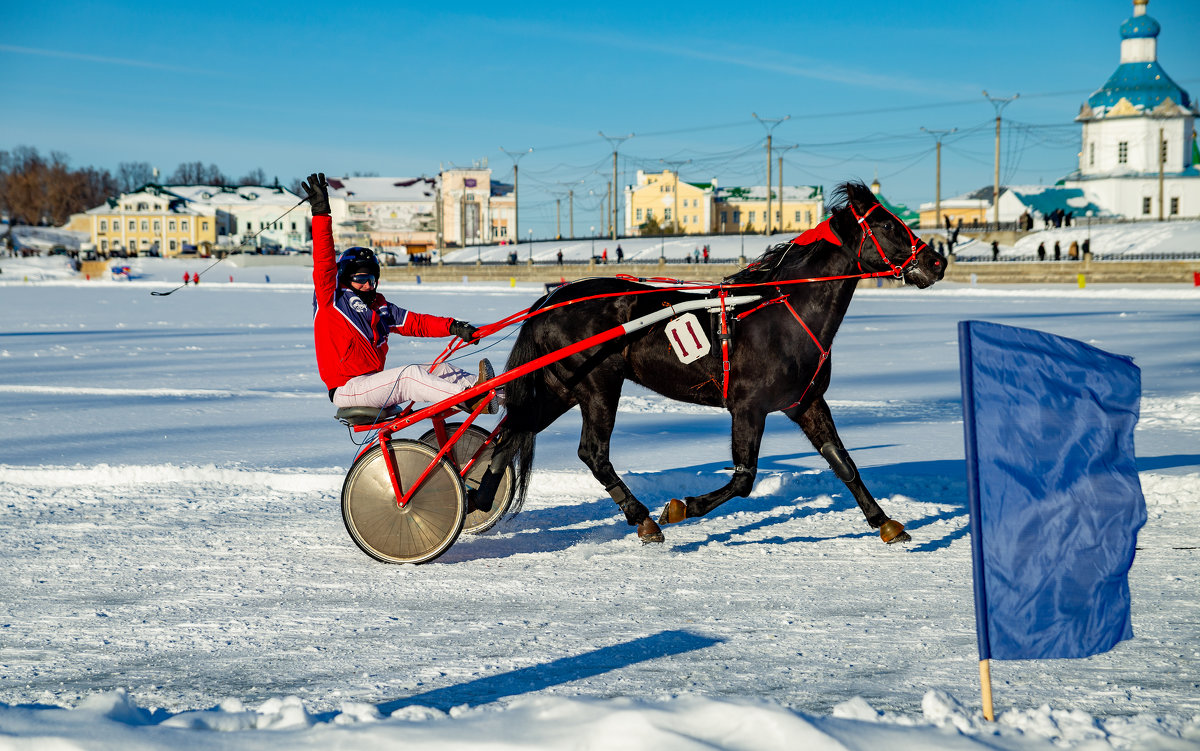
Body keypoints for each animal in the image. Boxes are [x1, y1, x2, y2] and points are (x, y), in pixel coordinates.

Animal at [472, 181, 940, 544]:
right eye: (887, 224)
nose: (936, 261)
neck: (784, 312)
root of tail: (551, 299)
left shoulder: (805, 402)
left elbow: (844, 462)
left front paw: (885, 522)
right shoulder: (748, 407)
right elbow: (744, 478)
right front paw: (682, 506)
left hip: (560, 388)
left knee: (510, 433)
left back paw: (480, 496)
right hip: (598, 385)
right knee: (591, 452)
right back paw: (642, 518)